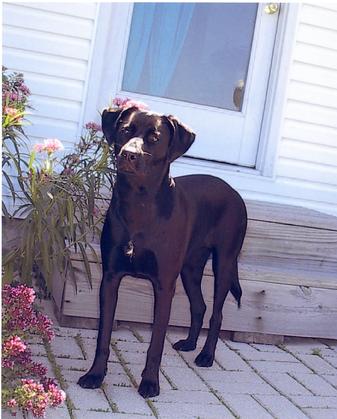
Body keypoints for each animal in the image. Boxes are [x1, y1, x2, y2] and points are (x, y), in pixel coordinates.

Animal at [79, 105, 247, 398]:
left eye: (155, 138)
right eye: (125, 130)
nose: (129, 154)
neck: (139, 203)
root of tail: (234, 191)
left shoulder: (164, 285)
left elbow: (156, 343)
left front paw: (149, 383)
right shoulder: (110, 279)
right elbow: (103, 335)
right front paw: (95, 375)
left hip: (224, 264)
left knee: (216, 313)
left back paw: (206, 355)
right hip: (190, 268)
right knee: (199, 306)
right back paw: (190, 343)